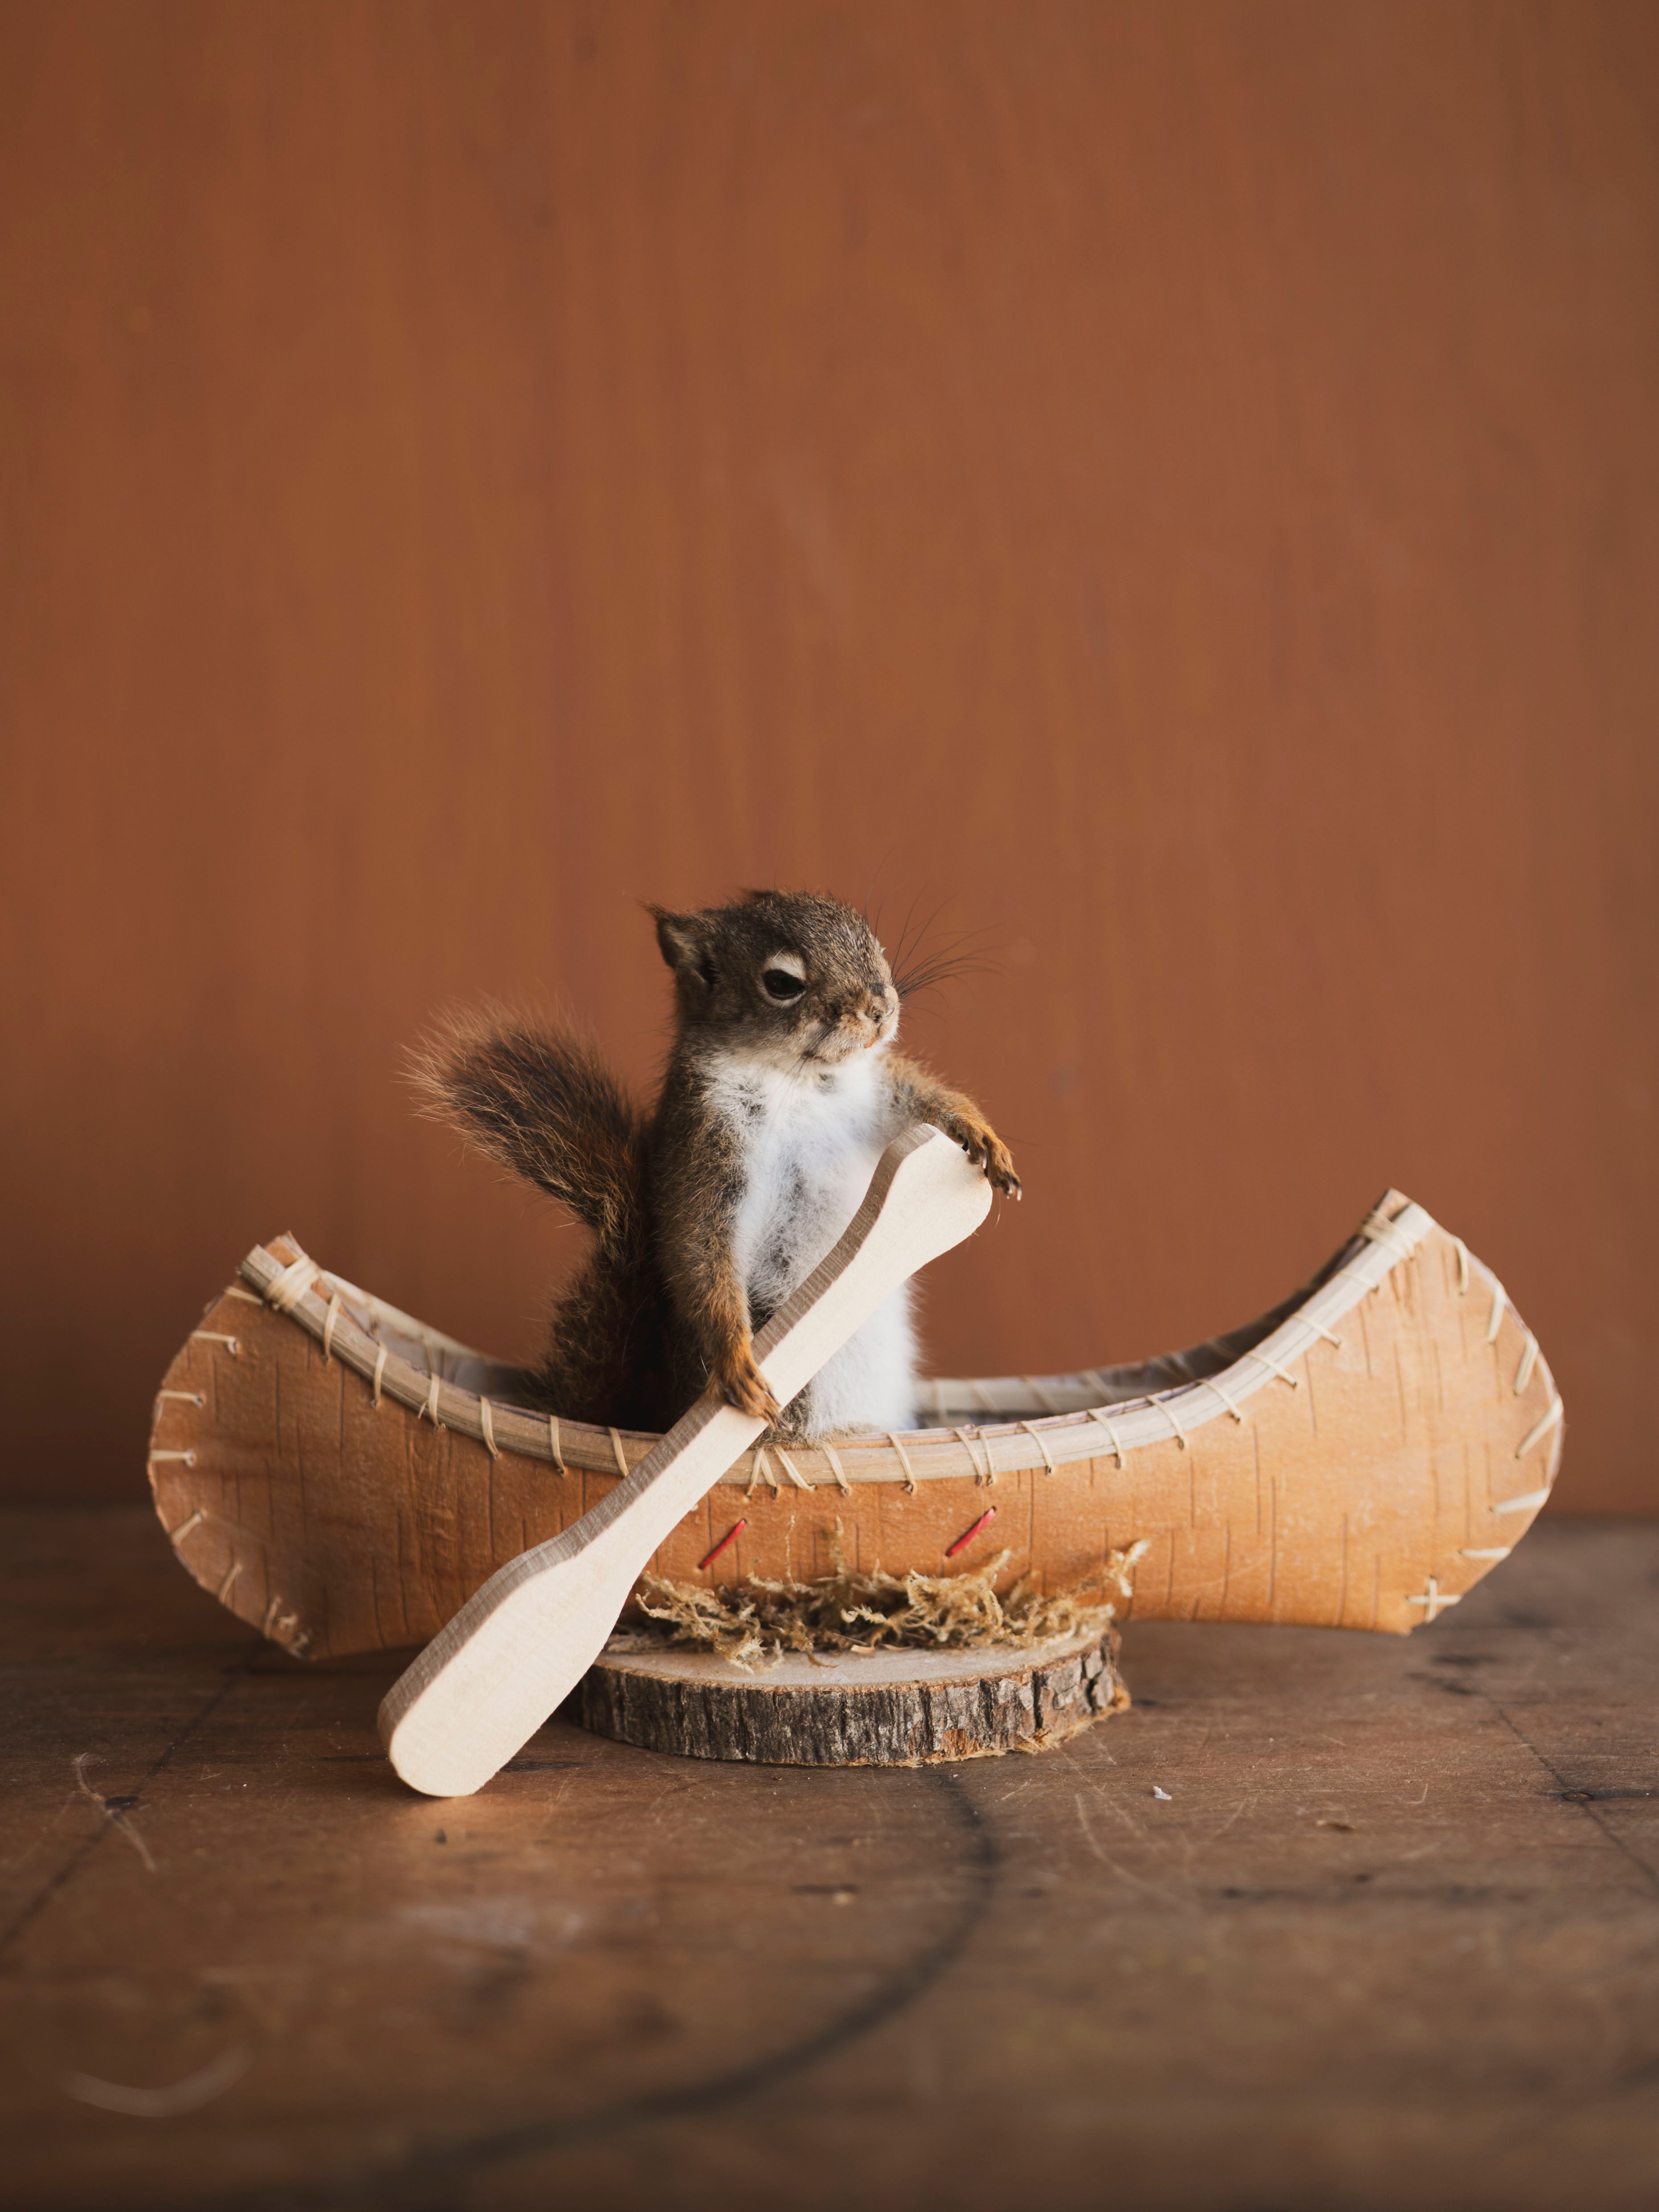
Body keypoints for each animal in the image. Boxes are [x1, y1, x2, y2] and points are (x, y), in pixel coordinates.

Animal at [411, 889, 1019, 1441]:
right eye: (782, 984)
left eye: (876, 946)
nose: (879, 1010)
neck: (801, 1080)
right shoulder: (707, 1145)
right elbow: (700, 1247)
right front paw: (735, 1360)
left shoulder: (880, 1095)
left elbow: (927, 1099)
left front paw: (983, 1137)